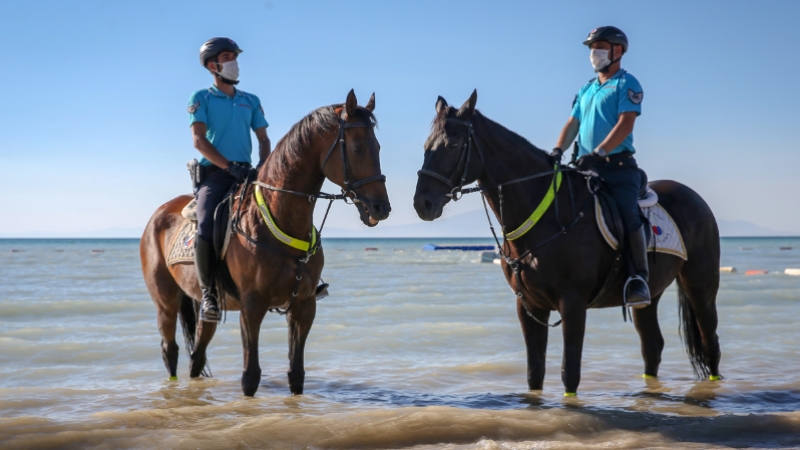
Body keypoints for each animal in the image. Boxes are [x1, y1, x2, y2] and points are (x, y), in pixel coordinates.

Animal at [141, 90, 390, 398]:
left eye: (377, 146)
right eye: (356, 148)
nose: (381, 208)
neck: (277, 219)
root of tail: (159, 213)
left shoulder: (304, 307)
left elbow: (296, 374)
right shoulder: (252, 307)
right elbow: (250, 377)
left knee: (197, 355)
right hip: (165, 301)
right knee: (170, 350)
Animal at [416, 90, 720, 394]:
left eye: (453, 144)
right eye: (426, 146)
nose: (422, 204)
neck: (548, 215)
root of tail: (696, 198)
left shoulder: (572, 304)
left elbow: (569, 373)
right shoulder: (529, 306)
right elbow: (534, 373)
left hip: (700, 286)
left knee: (710, 342)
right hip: (650, 296)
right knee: (652, 345)